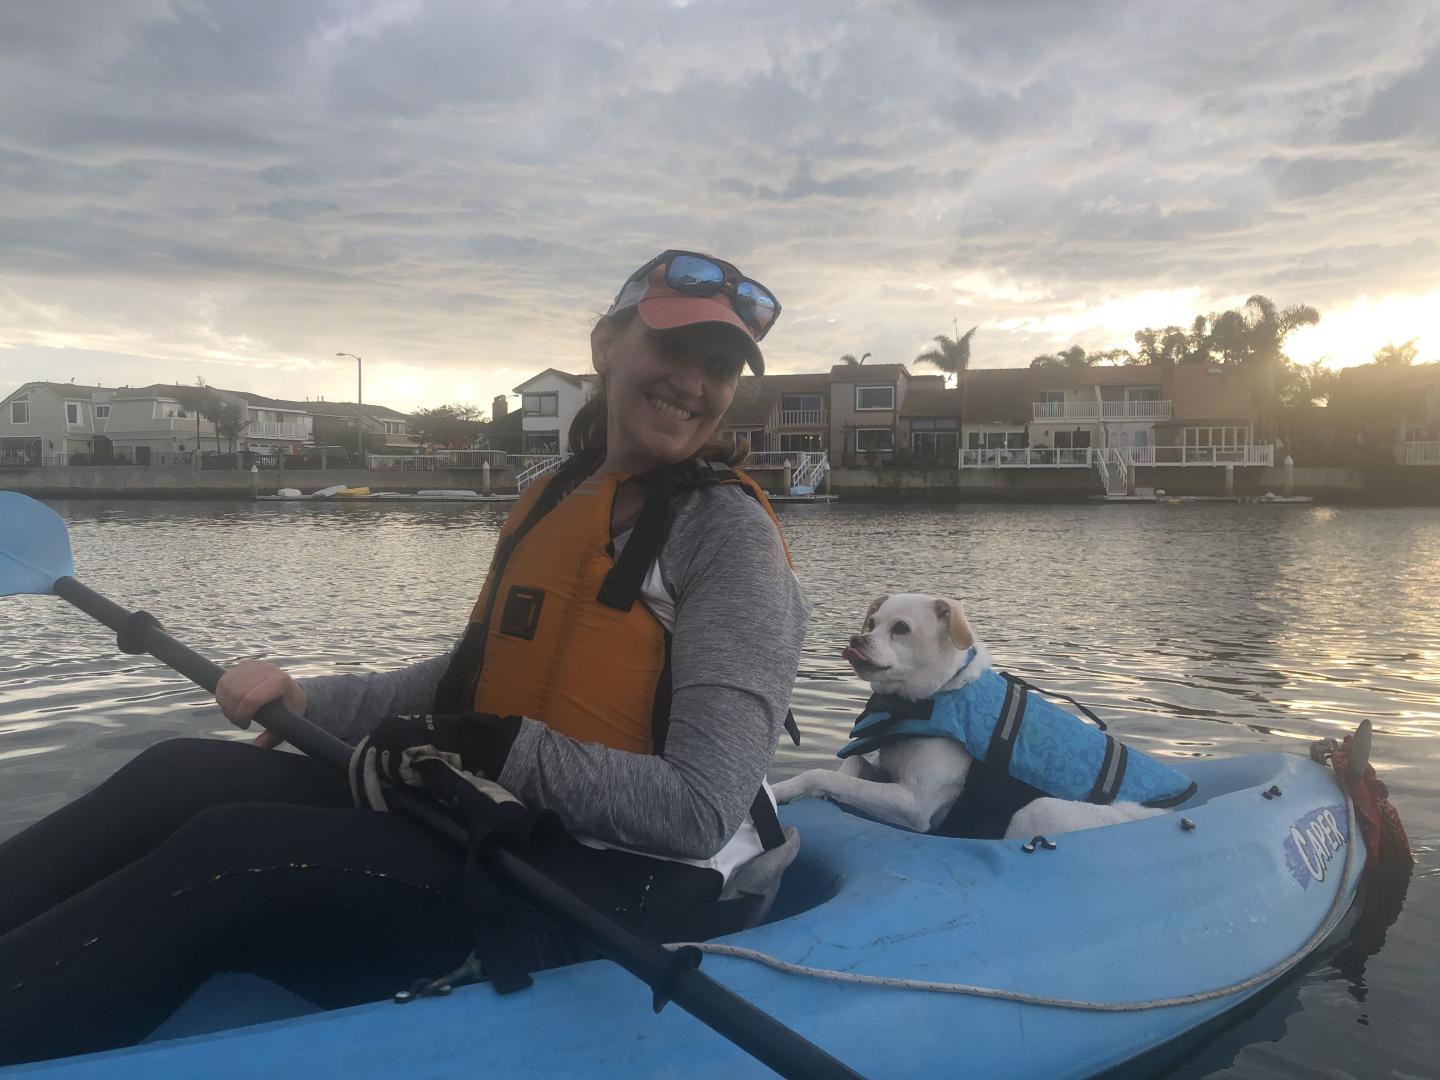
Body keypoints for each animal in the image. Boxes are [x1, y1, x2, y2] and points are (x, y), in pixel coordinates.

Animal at [771, 596, 1175, 840]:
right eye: (871, 622)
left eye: (901, 628)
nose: (856, 639)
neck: (933, 695)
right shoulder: (890, 774)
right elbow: (850, 766)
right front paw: (788, 791)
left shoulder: (915, 804)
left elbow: (824, 773)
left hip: (1038, 811)